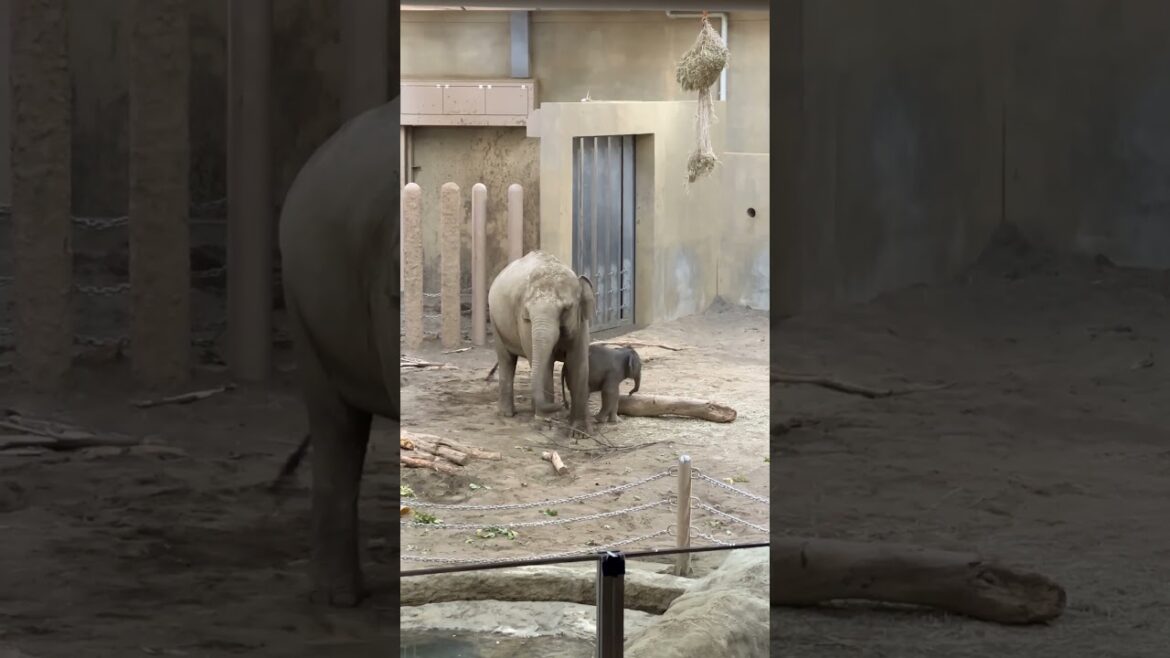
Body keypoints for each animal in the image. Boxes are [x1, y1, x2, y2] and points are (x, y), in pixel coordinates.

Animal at [487, 251, 594, 433]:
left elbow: (578, 363)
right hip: (496, 323)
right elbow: (546, 364)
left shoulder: (581, 322)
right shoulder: (523, 322)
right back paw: (508, 414)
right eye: (528, 313)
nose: (563, 404)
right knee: (506, 359)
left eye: (566, 309)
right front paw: (545, 423)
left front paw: (580, 431)